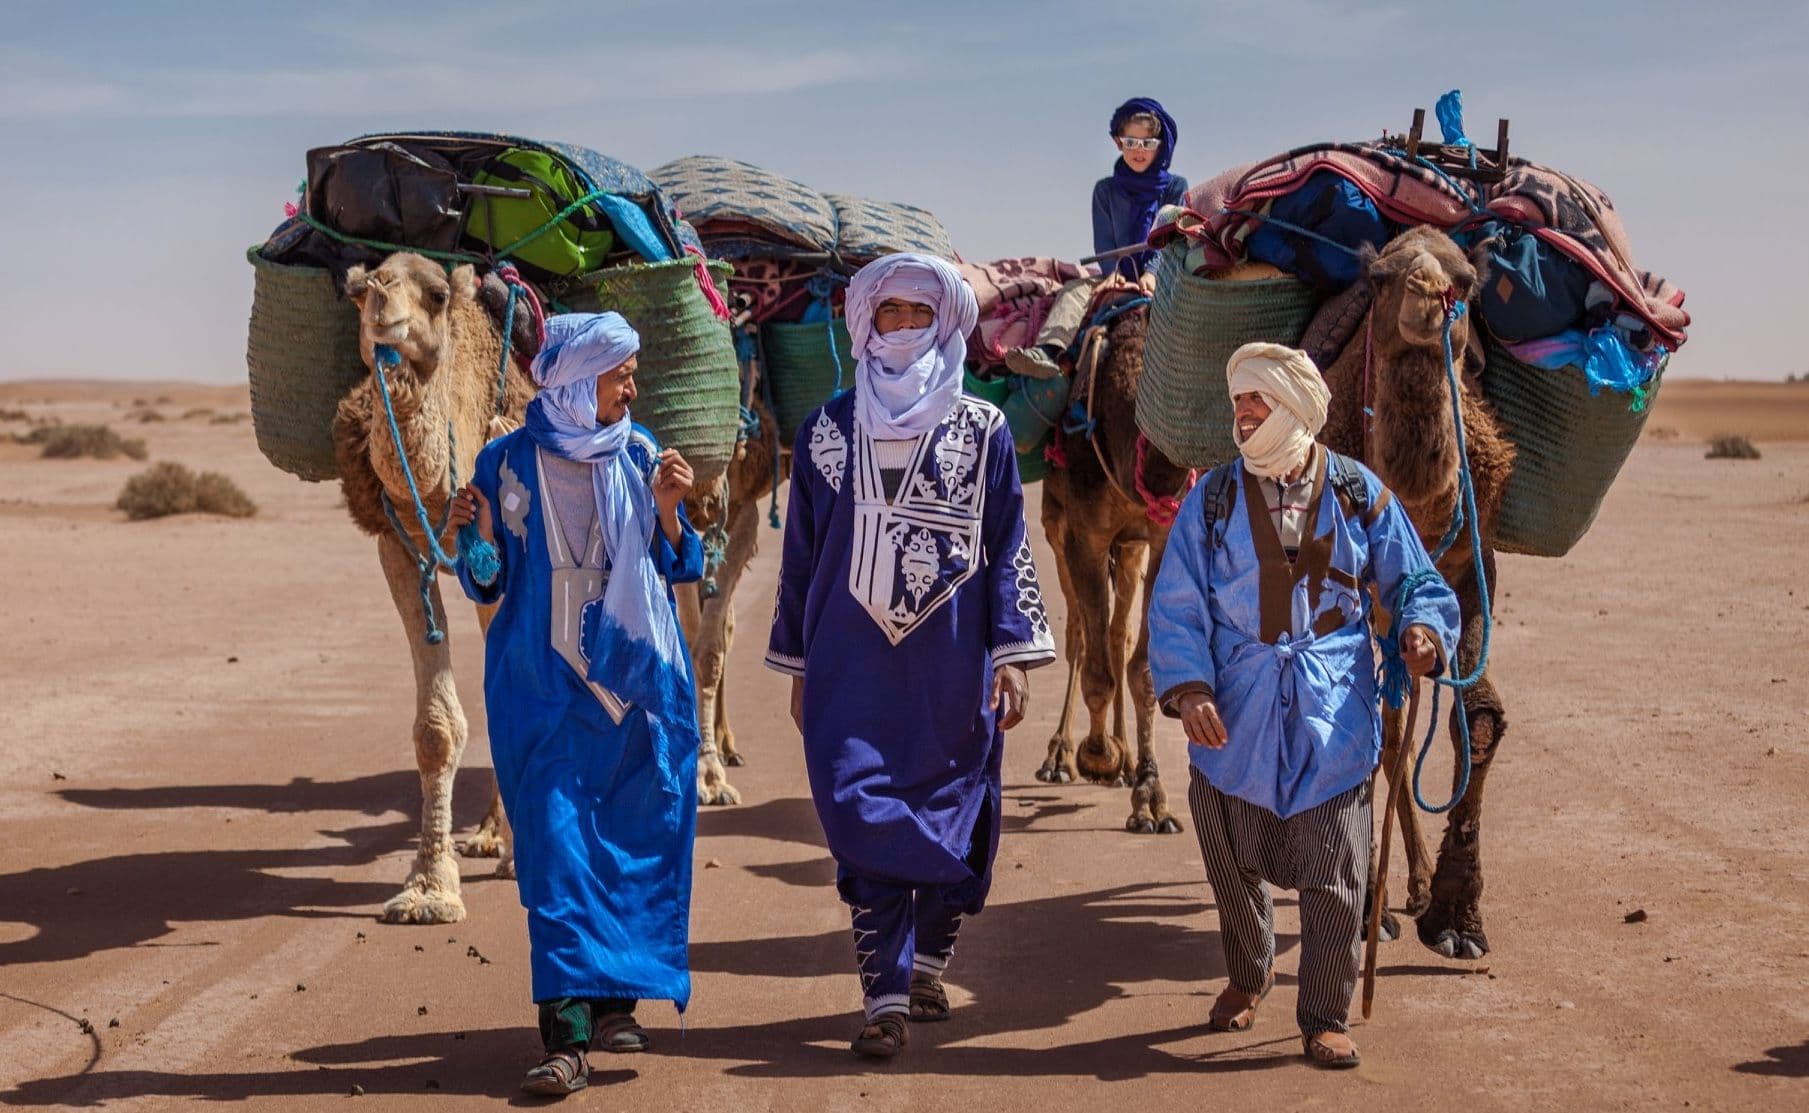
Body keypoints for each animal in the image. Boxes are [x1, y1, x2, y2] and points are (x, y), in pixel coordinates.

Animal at [334, 253, 535, 922]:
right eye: (359, 288)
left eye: (438, 294)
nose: (380, 302)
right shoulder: (397, 548)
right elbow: (436, 728)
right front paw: (428, 889)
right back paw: (490, 836)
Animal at [1041, 307, 1193, 836]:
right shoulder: (1083, 534)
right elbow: (1097, 669)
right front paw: (1096, 756)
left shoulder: (1160, 536)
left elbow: (1141, 666)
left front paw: (1150, 797)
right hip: (1055, 522)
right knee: (1080, 636)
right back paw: (1062, 757)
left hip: (1129, 548)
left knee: (1116, 634)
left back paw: (1126, 761)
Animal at [1324, 224, 1519, 955]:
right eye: (1380, 277)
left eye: (1465, 281)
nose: (1430, 293)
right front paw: (1361, 913)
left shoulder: (1471, 570)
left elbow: (1480, 720)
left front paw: (1456, 915)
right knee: (1387, 728)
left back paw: (1412, 885)